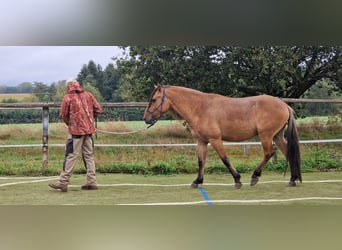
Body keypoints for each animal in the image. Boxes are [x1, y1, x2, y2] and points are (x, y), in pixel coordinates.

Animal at [143, 85, 300, 188]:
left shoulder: (215, 140)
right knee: (288, 152)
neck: (200, 108)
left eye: (154, 100)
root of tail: (284, 105)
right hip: (277, 137)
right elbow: (201, 161)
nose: (145, 118)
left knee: (269, 153)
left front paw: (237, 180)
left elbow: (225, 159)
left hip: (266, 136)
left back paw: (255, 176)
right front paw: (197, 181)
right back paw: (293, 179)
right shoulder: (201, 141)